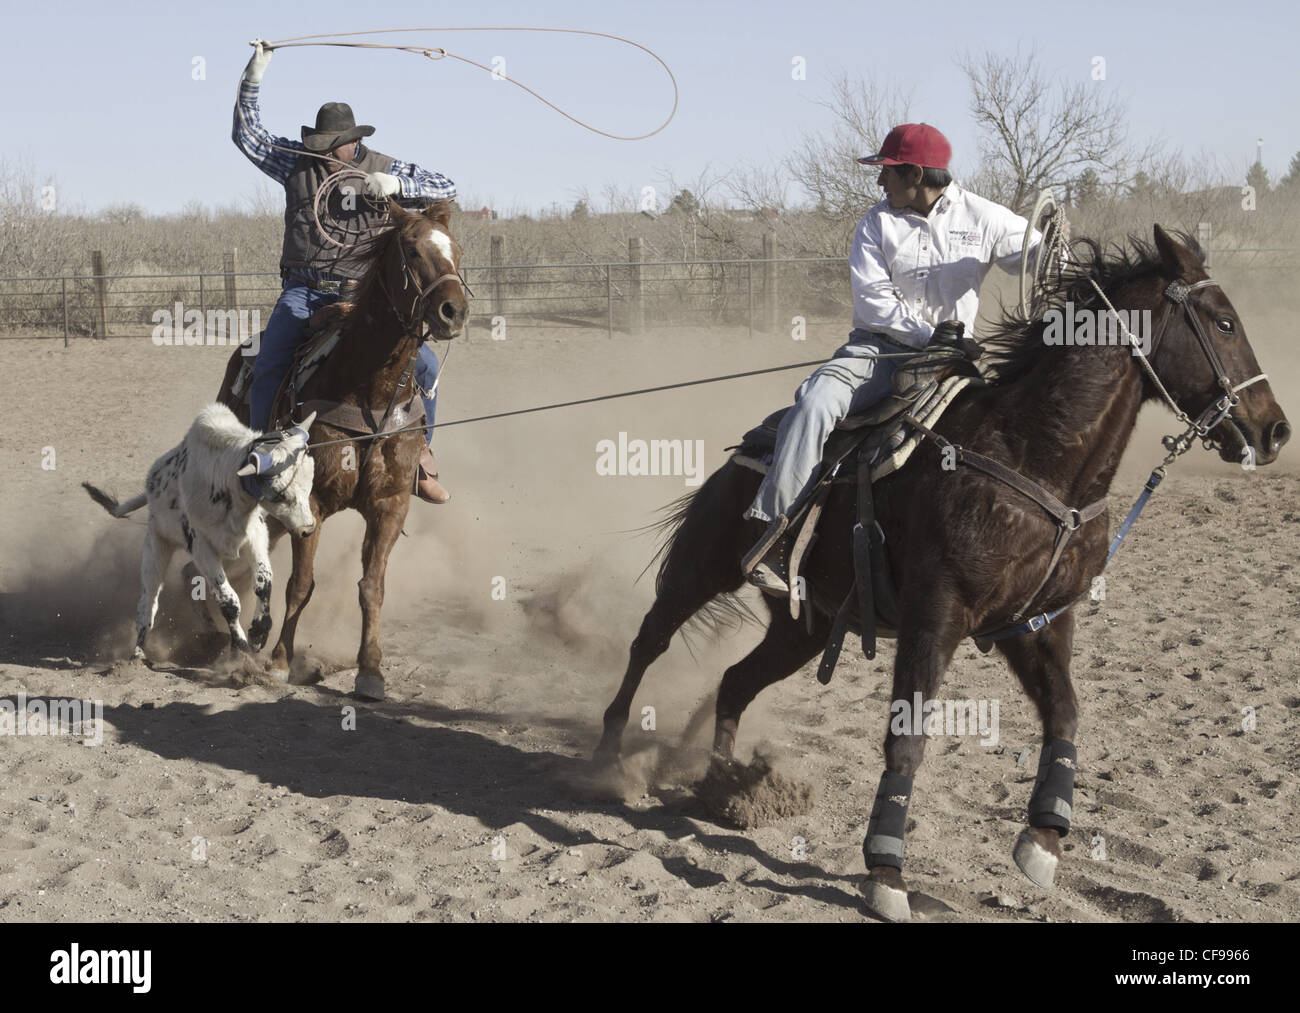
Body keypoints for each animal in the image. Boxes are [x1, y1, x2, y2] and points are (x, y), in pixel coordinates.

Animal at [215, 198, 470, 707]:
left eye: (457, 251)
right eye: (413, 251)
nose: (454, 310)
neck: (367, 391)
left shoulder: (391, 505)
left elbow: (372, 587)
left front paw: (370, 671)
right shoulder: (309, 504)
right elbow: (300, 585)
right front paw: (279, 662)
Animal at [595, 226, 1289, 920]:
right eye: (1224, 322)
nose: (1274, 429)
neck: (1033, 460)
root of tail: (751, 447)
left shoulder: (1038, 623)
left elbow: (1064, 714)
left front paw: (1043, 841)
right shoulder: (937, 613)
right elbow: (908, 737)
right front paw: (886, 871)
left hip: (805, 628)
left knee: (736, 682)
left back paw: (725, 788)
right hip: (701, 568)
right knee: (649, 642)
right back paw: (607, 758)